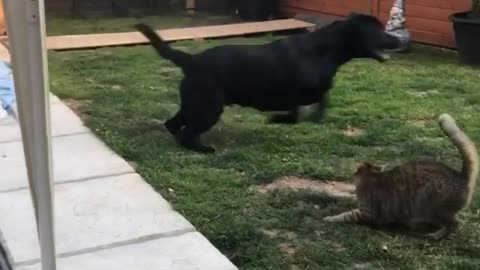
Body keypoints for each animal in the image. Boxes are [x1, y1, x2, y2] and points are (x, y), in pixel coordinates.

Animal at [134, 13, 398, 153]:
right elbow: (300, 112)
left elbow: (321, 101)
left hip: (194, 103)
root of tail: (191, 60)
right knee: (187, 130)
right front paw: (276, 119)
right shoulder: (296, 94)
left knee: (173, 124)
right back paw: (201, 148)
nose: (400, 40)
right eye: (378, 31)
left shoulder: (309, 92)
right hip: (209, 107)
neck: (325, 49)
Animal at [324, 113, 478, 239]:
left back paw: (436, 235)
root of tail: (460, 176)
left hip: (434, 205)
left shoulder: (367, 212)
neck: (371, 178)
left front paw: (330, 218)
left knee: (454, 224)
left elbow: (346, 215)